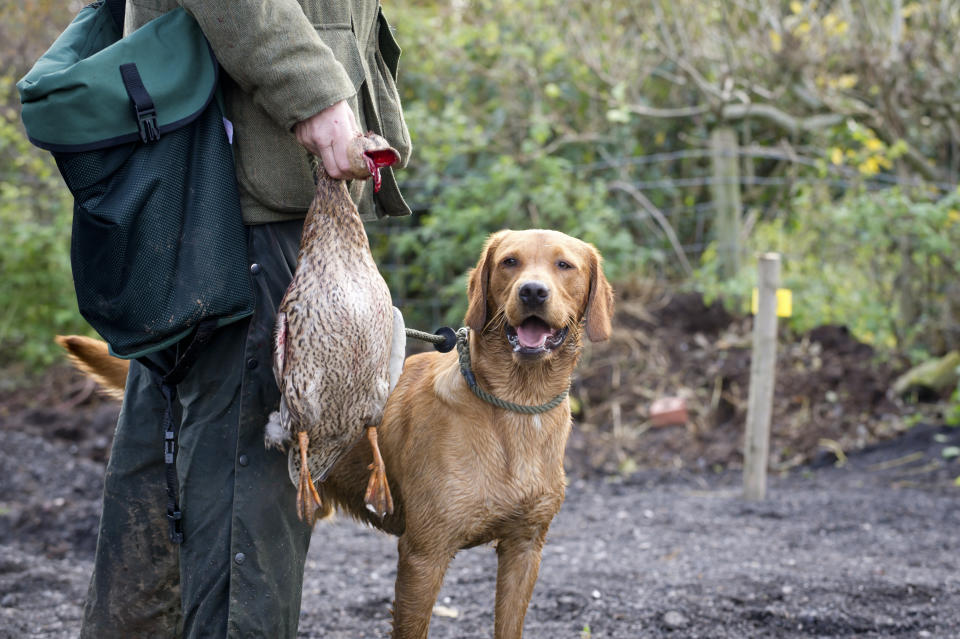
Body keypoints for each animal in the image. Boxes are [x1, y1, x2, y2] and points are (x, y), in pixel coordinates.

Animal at [60, 228, 616, 636]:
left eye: (564, 265)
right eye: (510, 262)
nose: (532, 292)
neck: (516, 407)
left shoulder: (525, 551)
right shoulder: (424, 555)